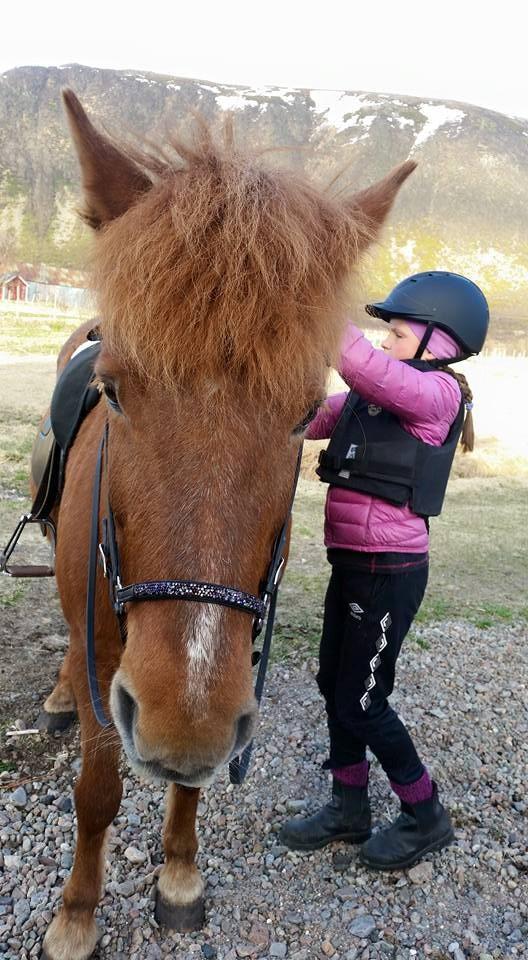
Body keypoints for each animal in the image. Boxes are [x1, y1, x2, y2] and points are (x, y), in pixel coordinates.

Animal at [39, 90, 414, 960]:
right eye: (113, 392)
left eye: (307, 411)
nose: (181, 721)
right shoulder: (108, 657)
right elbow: (96, 791)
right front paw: (76, 914)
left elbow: (191, 789)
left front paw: (179, 876)